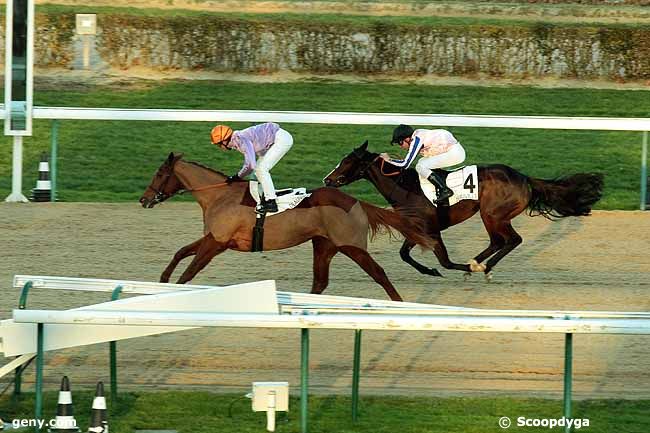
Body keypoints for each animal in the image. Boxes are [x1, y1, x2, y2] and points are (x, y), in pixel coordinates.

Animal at [137, 153, 432, 300]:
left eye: (160, 174)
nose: (144, 199)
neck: (220, 196)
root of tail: (356, 201)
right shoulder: (213, 238)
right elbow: (180, 252)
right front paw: (162, 280)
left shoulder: (216, 243)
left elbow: (189, 273)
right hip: (323, 245)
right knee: (320, 282)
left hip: (351, 246)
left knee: (379, 274)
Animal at [324, 140, 604, 278]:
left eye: (347, 162)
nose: (327, 179)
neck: (406, 187)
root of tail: (524, 178)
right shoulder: (417, 228)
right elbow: (404, 255)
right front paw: (430, 271)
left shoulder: (432, 230)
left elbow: (446, 262)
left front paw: (454, 269)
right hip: (492, 216)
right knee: (498, 242)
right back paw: (478, 262)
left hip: (492, 214)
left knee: (512, 240)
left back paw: (483, 267)